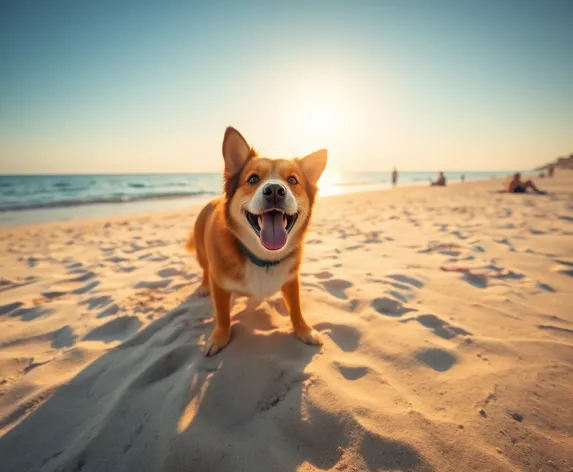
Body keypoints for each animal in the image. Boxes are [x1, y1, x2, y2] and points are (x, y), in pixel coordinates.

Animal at [187, 127, 326, 356]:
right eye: (253, 179)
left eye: (293, 180)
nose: (275, 190)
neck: (263, 257)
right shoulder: (220, 284)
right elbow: (222, 315)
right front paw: (219, 337)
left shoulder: (291, 279)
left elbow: (296, 307)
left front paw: (303, 329)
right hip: (201, 252)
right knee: (205, 269)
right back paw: (203, 287)